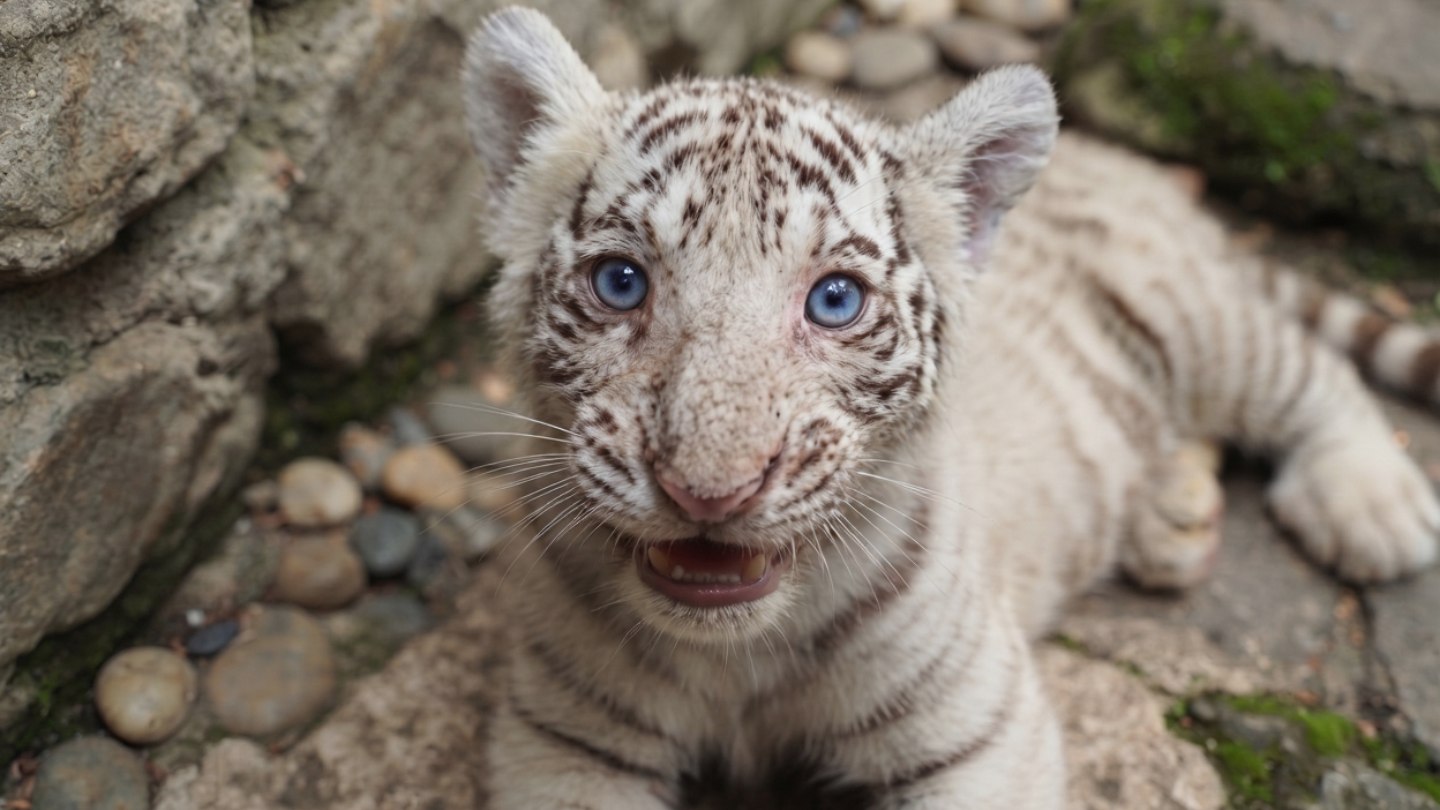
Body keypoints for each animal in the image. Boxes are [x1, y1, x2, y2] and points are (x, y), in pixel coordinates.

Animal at [459, 8, 1440, 808]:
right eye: (621, 283)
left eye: (835, 300)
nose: (711, 490)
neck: (738, 656)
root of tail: (1131, 165)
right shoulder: (565, 739)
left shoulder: (981, 731)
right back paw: (1174, 515)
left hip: (1200, 319)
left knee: (1306, 369)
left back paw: (1374, 509)